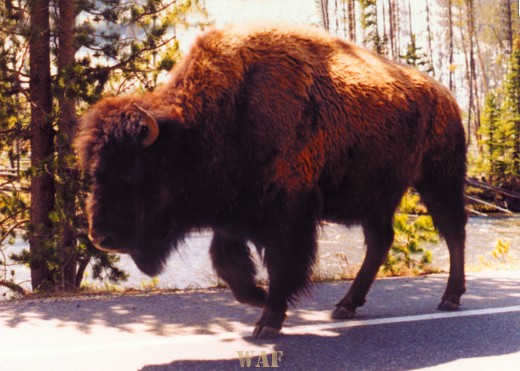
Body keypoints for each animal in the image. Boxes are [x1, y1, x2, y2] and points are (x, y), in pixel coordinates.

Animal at [76, 24, 468, 340]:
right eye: (93, 171)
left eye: (132, 171)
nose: (101, 237)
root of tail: (447, 98)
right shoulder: (233, 216)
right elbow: (227, 263)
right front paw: (259, 299)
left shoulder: (288, 215)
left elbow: (281, 265)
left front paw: (267, 321)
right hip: (376, 198)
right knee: (380, 241)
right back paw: (346, 305)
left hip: (439, 181)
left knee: (453, 232)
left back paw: (449, 298)